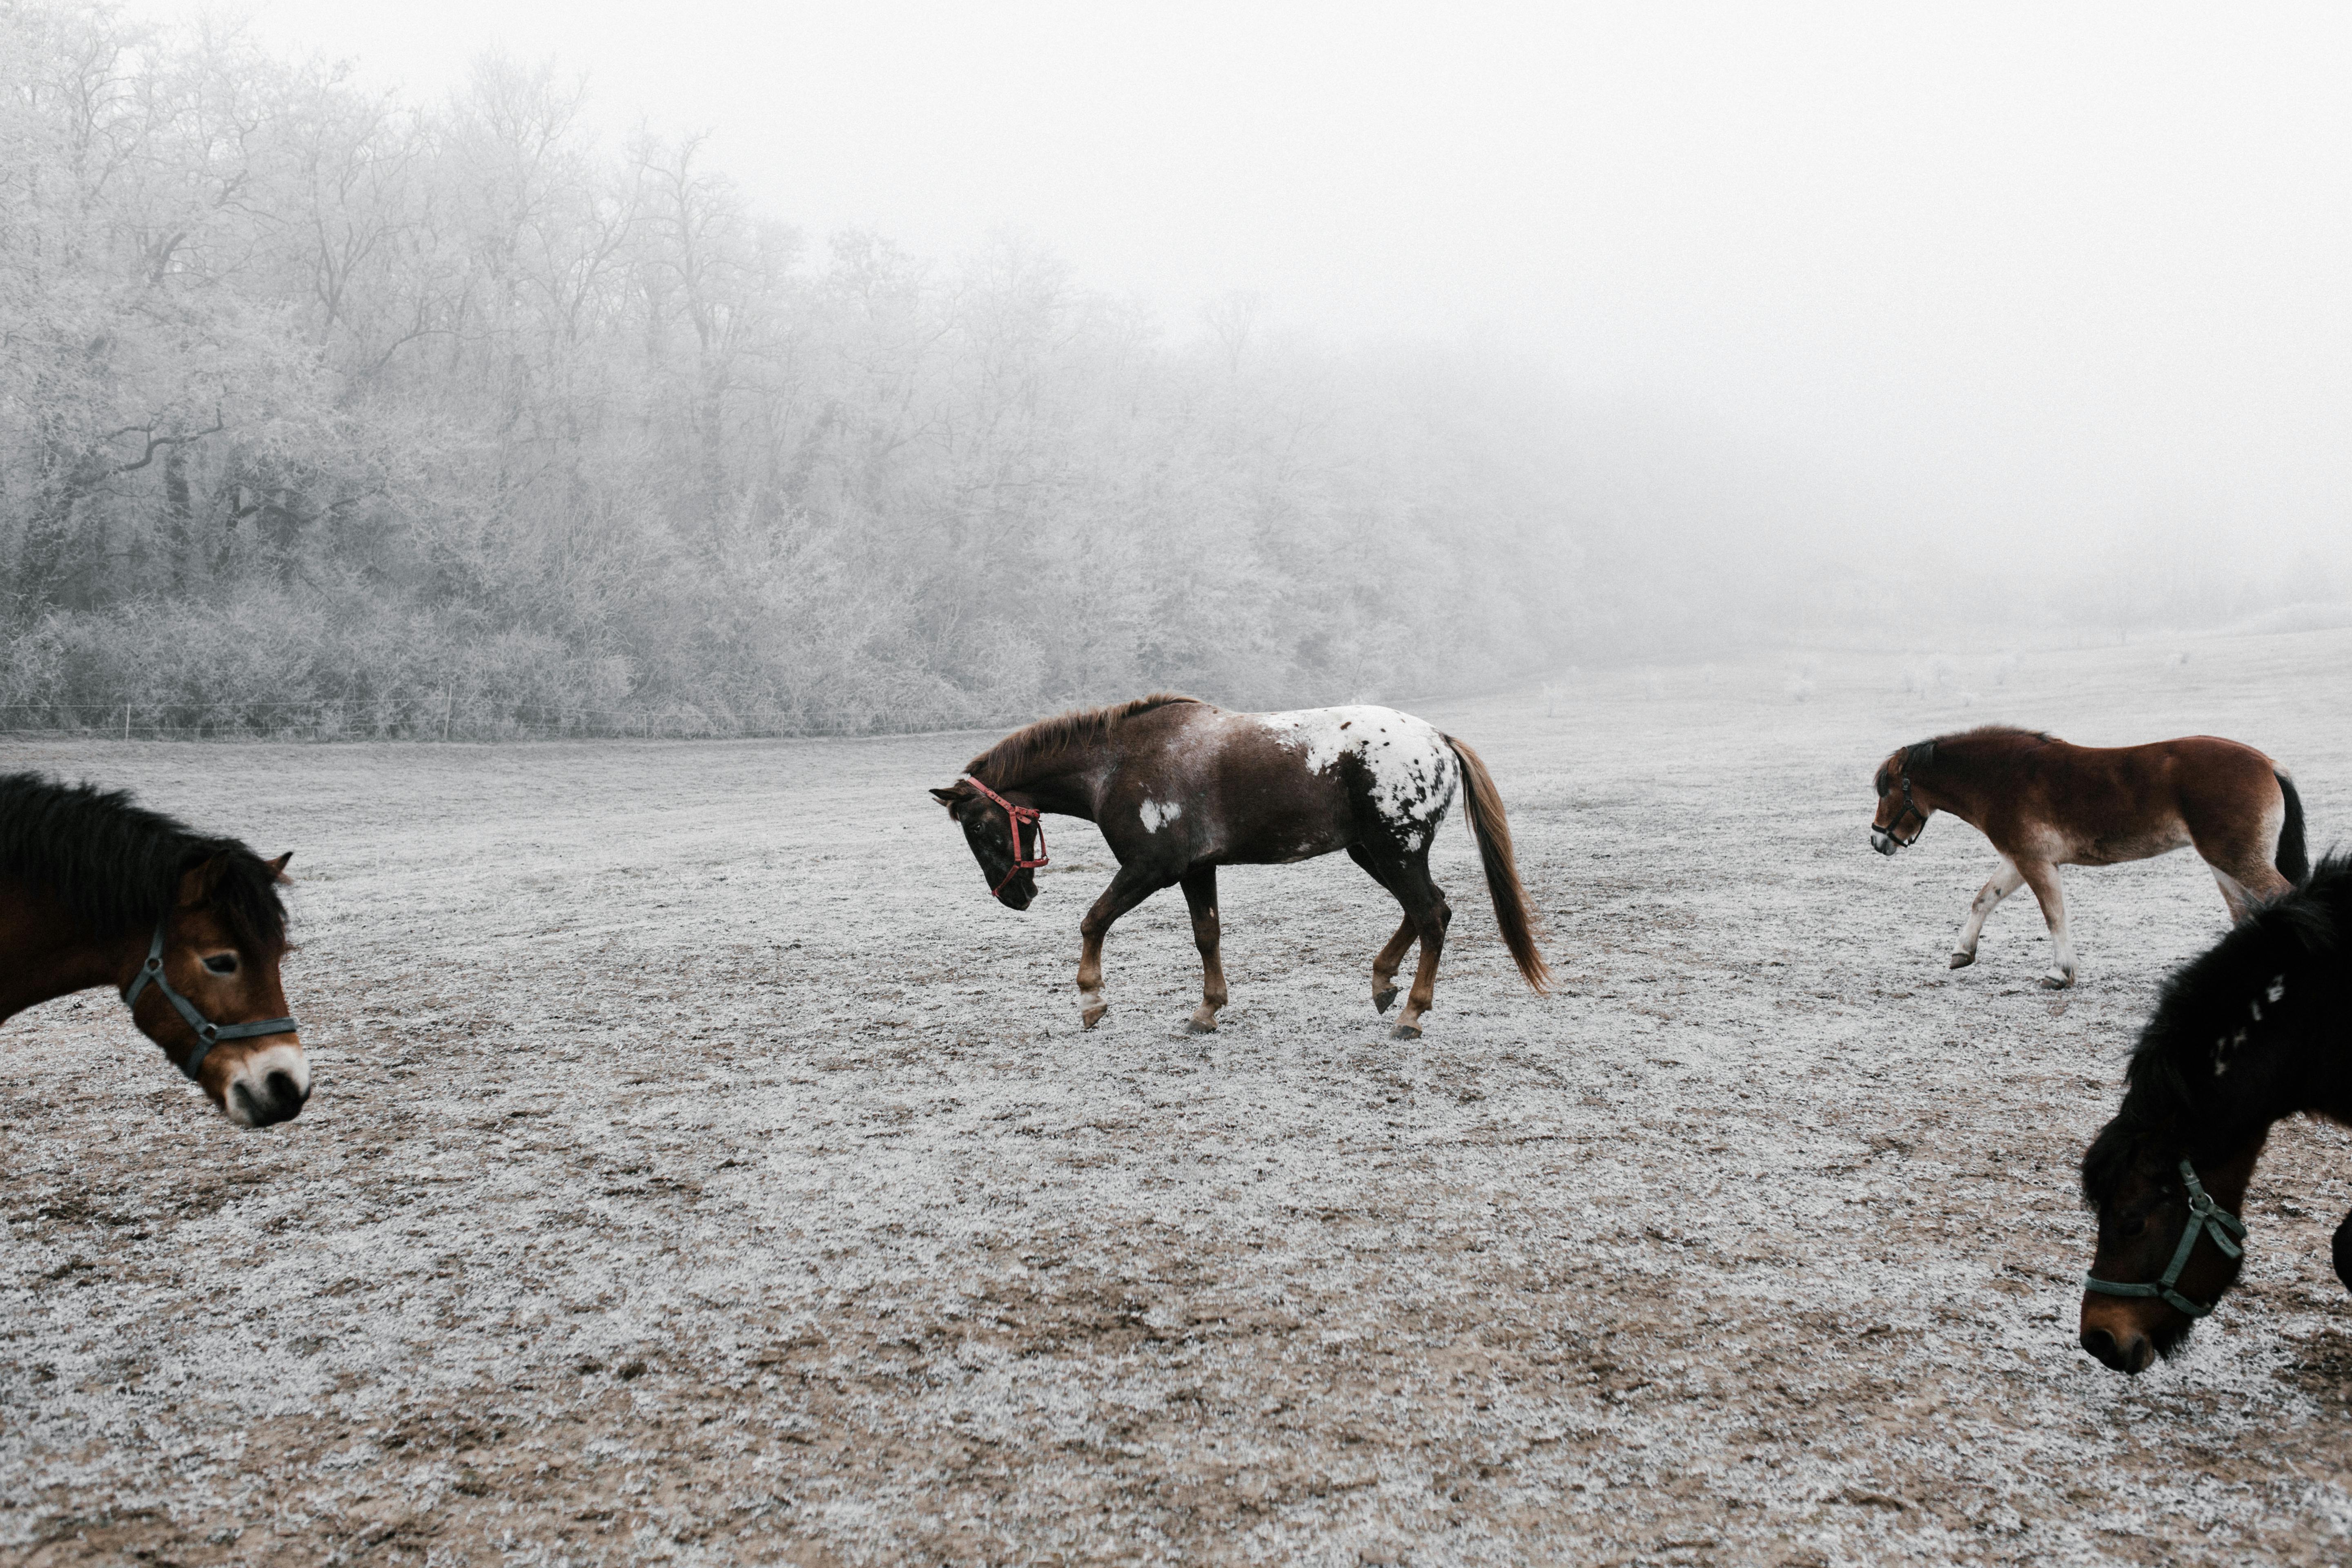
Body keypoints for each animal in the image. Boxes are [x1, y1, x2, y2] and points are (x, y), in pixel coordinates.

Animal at [927, 691, 1552, 1034]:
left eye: (978, 827)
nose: (1015, 897)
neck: (1119, 761)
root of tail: (1438, 739)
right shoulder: (1196, 871)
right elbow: (1207, 935)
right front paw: (1207, 1009)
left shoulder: (1151, 869)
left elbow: (1093, 920)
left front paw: (1092, 999)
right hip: (1375, 852)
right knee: (1428, 911)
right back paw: (1383, 982)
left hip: (1395, 851)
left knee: (1430, 916)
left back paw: (1412, 1014)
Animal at [1862, 728, 2305, 987]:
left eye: (1888, 790)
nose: (1877, 840)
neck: (2003, 777)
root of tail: (2268, 764)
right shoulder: (2019, 860)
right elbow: (1985, 899)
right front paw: (1963, 952)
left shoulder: (2034, 862)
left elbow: (2054, 916)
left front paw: (2060, 972)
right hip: (2225, 864)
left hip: (2238, 861)